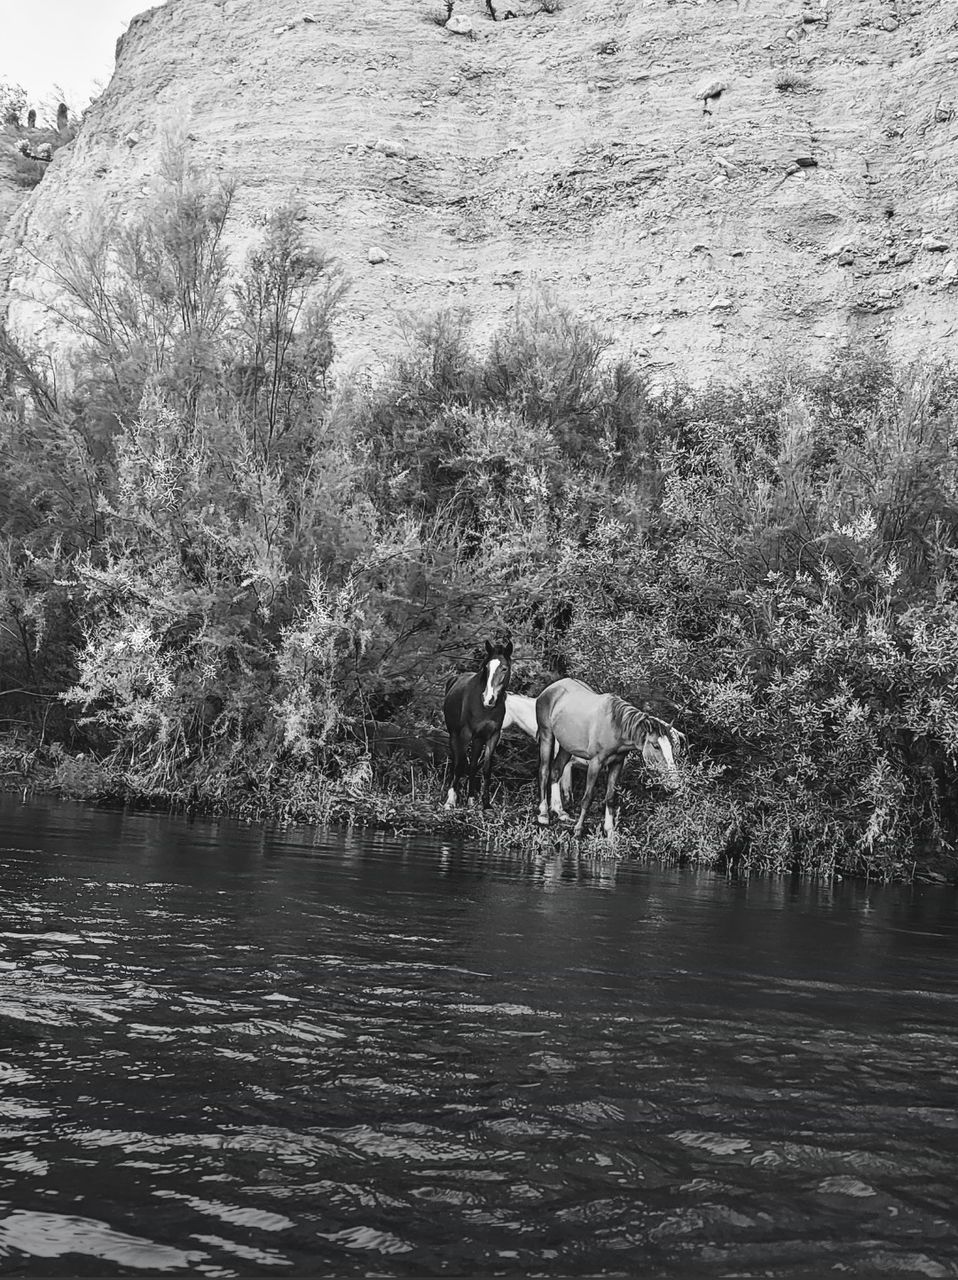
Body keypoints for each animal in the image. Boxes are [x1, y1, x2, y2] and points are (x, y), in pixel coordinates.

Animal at [443, 640, 512, 808]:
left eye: (504, 668)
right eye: (486, 668)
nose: (488, 699)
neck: (485, 709)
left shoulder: (493, 736)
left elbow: (486, 768)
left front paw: (486, 804)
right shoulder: (465, 734)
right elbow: (460, 764)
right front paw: (450, 801)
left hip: (478, 739)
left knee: (473, 765)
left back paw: (470, 799)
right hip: (454, 735)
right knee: (456, 761)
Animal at [535, 675, 686, 844]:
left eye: (672, 746)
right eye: (656, 746)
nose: (674, 782)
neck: (616, 726)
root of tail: (551, 688)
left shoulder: (617, 763)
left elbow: (610, 797)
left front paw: (610, 832)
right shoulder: (595, 763)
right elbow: (588, 798)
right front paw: (578, 830)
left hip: (566, 746)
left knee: (556, 771)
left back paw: (560, 811)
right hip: (547, 735)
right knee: (544, 771)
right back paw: (543, 815)